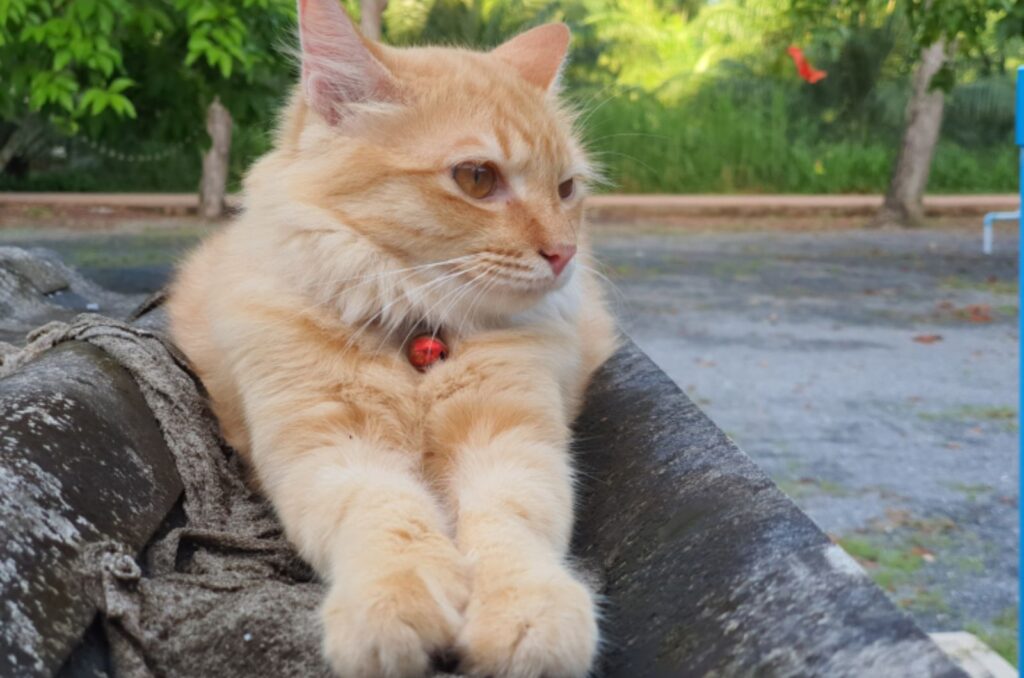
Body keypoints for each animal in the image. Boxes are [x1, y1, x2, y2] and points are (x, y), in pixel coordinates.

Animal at [168, 2, 614, 675]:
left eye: (566, 189)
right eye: (477, 178)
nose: (564, 254)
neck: (418, 332)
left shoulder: (510, 438)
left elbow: (512, 525)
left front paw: (528, 615)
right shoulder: (335, 447)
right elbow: (386, 517)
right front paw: (395, 604)